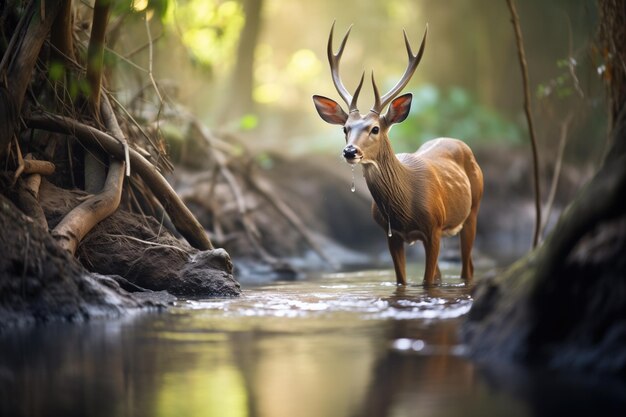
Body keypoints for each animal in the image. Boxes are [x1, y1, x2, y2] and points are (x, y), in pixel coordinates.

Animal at [312, 23, 482, 286]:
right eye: (345, 128)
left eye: (375, 128)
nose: (350, 151)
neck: (404, 207)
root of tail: (458, 142)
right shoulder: (391, 234)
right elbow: (402, 280)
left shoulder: (434, 227)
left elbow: (426, 281)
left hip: (473, 209)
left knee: (468, 268)